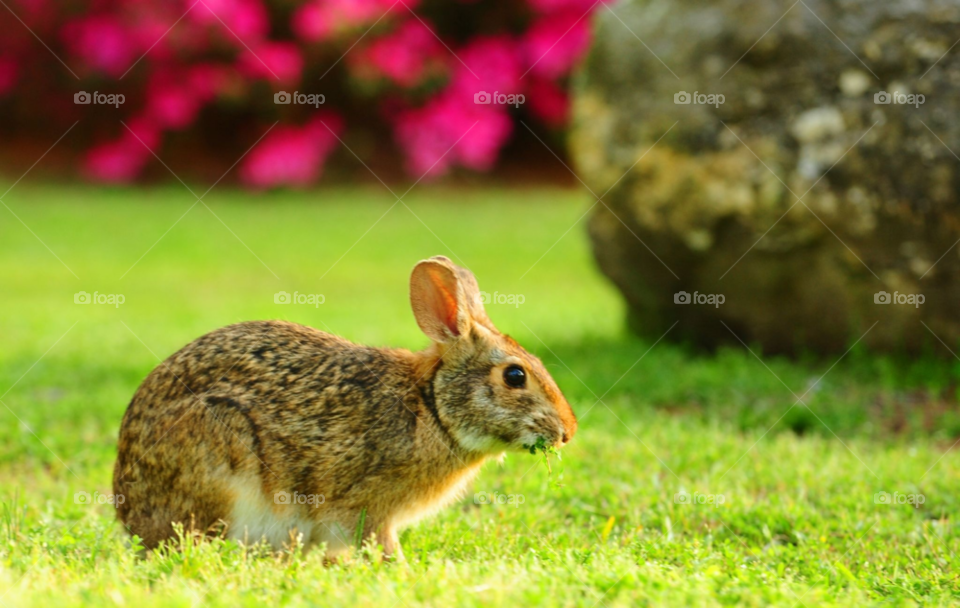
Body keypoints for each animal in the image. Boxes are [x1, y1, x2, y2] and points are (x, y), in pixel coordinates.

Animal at [112, 254, 576, 560]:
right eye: (514, 376)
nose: (567, 432)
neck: (432, 407)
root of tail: (130, 514)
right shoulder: (367, 507)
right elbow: (378, 541)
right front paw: (399, 569)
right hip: (221, 450)